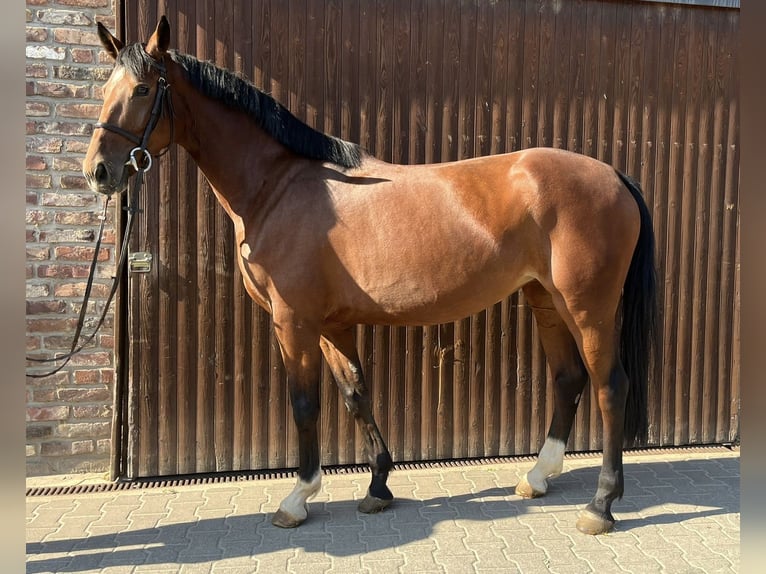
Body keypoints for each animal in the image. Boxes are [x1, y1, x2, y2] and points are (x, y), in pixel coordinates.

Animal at [85, 18, 660, 540]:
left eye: (142, 89)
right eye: (104, 89)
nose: (98, 172)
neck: (279, 187)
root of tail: (615, 175)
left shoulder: (293, 322)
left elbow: (305, 404)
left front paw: (298, 497)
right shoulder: (330, 325)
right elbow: (356, 394)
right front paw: (378, 486)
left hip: (589, 307)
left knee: (610, 386)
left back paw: (601, 504)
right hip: (546, 300)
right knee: (568, 379)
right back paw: (538, 477)